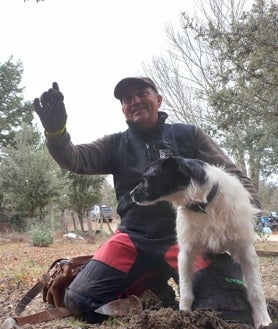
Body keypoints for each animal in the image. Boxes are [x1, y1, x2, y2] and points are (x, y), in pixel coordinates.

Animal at [130, 156, 272, 328]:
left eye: (147, 177)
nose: (130, 194)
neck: (203, 205)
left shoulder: (245, 251)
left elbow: (256, 292)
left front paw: (263, 320)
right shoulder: (186, 253)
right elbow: (186, 291)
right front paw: (183, 317)